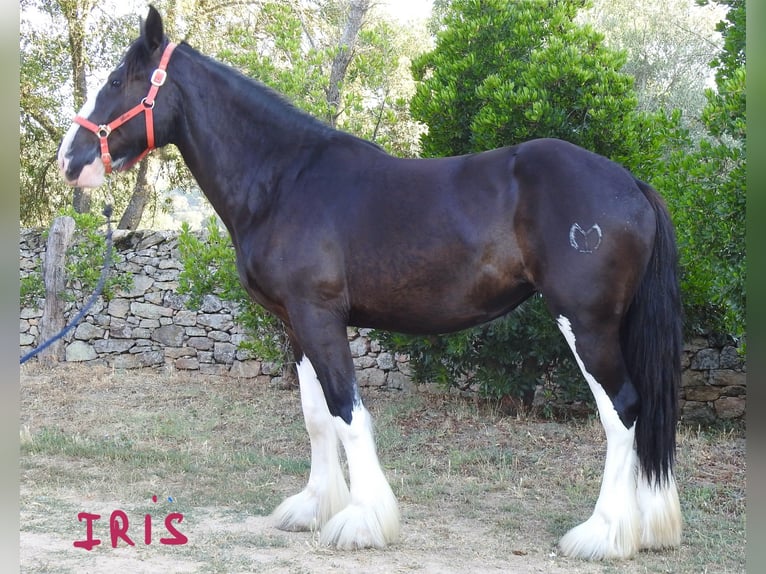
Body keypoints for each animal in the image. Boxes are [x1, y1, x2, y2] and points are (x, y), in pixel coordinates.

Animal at [58, 5, 684, 564]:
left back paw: (603, 535)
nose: (71, 159)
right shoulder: (296, 325)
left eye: (117, 80)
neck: (284, 179)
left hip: (587, 322)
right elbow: (316, 417)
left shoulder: (320, 317)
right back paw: (647, 527)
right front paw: (313, 508)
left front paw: (361, 522)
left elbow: (347, 412)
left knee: (622, 410)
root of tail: (630, 182)